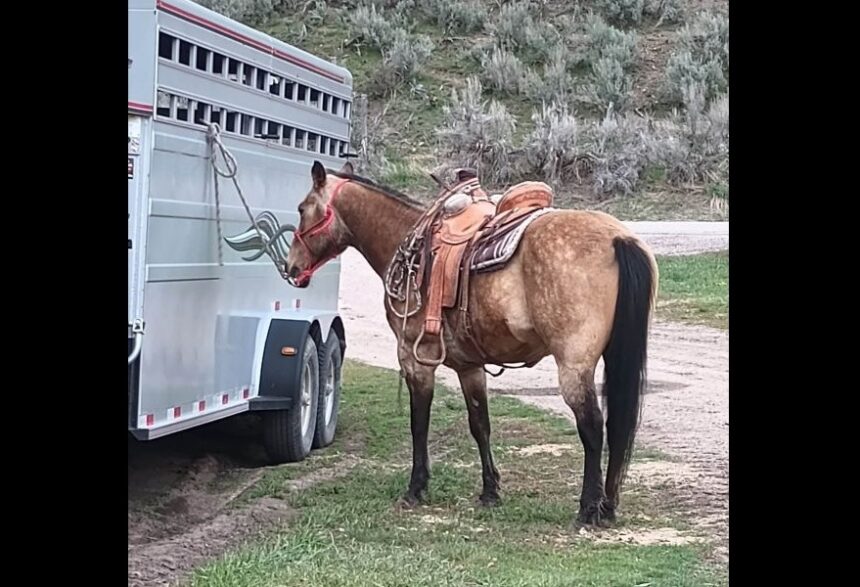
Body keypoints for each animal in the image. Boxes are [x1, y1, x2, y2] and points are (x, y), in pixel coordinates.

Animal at [284, 160, 658, 526]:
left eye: (302, 208)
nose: (291, 268)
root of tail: (618, 238)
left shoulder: (414, 359)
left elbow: (418, 423)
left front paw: (416, 488)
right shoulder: (469, 366)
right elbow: (480, 424)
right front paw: (490, 491)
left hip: (573, 365)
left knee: (592, 427)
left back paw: (588, 509)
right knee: (616, 425)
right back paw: (607, 507)